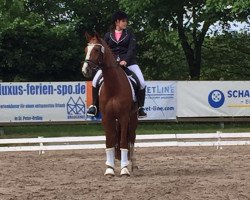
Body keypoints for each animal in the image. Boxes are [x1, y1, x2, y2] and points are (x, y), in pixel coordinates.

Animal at [81, 32, 138, 176]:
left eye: (96, 50)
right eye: (86, 49)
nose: (85, 70)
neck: (113, 86)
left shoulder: (124, 117)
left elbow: (123, 142)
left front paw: (124, 169)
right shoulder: (107, 117)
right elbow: (109, 142)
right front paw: (109, 169)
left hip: (133, 119)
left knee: (132, 139)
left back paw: (133, 164)